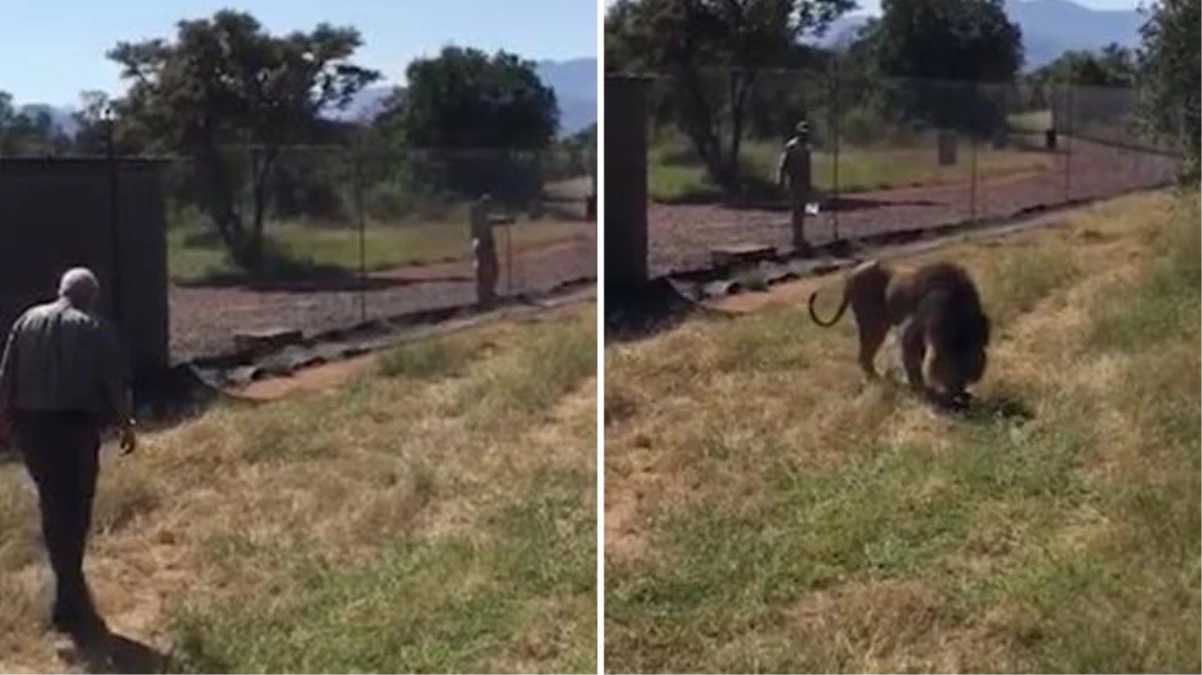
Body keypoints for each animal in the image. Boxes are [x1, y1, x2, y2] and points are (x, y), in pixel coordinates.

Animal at [812, 257, 990, 403]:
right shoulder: (915, 329)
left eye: (967, 377)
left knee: (866, 356)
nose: (958, 392)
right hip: (871, 322)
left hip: (880, 323)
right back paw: (877, 380)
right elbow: (913, 360)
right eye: (955, 375)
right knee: (864, 355)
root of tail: (851, 274)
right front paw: (922, 391)